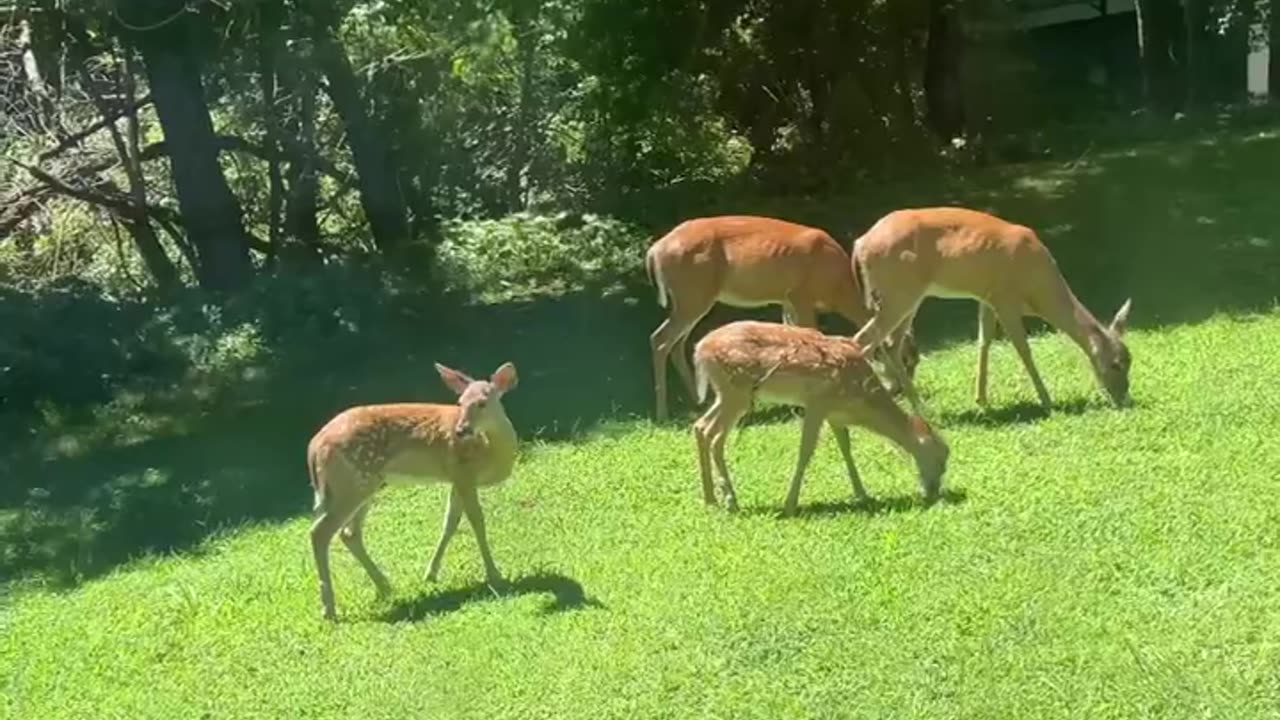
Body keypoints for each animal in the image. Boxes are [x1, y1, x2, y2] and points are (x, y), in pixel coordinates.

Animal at [304, 361, 519, 620]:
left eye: (482, 403)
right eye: (460, 402)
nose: (461, 430)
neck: (490, 451)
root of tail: (313, 447)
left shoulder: (456, 478)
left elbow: (450, 522)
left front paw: (431, 573)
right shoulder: (464, 474)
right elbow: (477, 521)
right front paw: (495, 575)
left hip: (365, 484)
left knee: (349, 533)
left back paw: (385, 587)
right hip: (352, 483)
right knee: (320, 532)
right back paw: (329, 609)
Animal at [645, 215, 916, 422]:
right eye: (907, 360)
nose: (898, 390)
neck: (837, 285)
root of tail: (654, 251)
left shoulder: (786, 301)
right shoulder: (801, 295)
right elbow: (810, 335)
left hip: (690, 298)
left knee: (677, 343)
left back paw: (697, 401)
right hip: (693, 293)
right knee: (660, 339)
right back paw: (662, 413)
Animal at [691, 320, 952, 515]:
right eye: (940, 458)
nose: (933, 492)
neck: (860, 401)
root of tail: (699, 351)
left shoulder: (834, 415)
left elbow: (846, 448)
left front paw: (862, 494)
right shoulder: (817, 403)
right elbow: (805, 451)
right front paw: (790, 505)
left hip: (727, 394)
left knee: (700, 426)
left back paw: (711, 499)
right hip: (737, 392)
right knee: (714, 435)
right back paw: (730, 500)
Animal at [849, 207, 1131, 409]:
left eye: (1131, 361)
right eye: (1116, 364)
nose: (1124, 399)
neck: (1037, 291)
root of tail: (859, 244)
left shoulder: (986, 298)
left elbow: (984, 341)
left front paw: (982, 399)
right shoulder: (1005, 298)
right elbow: (1023, 348)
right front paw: (1046, 400)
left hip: (904, 299)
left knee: (889, 346)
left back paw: (919, 406)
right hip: (900, 293)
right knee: (863, 341)